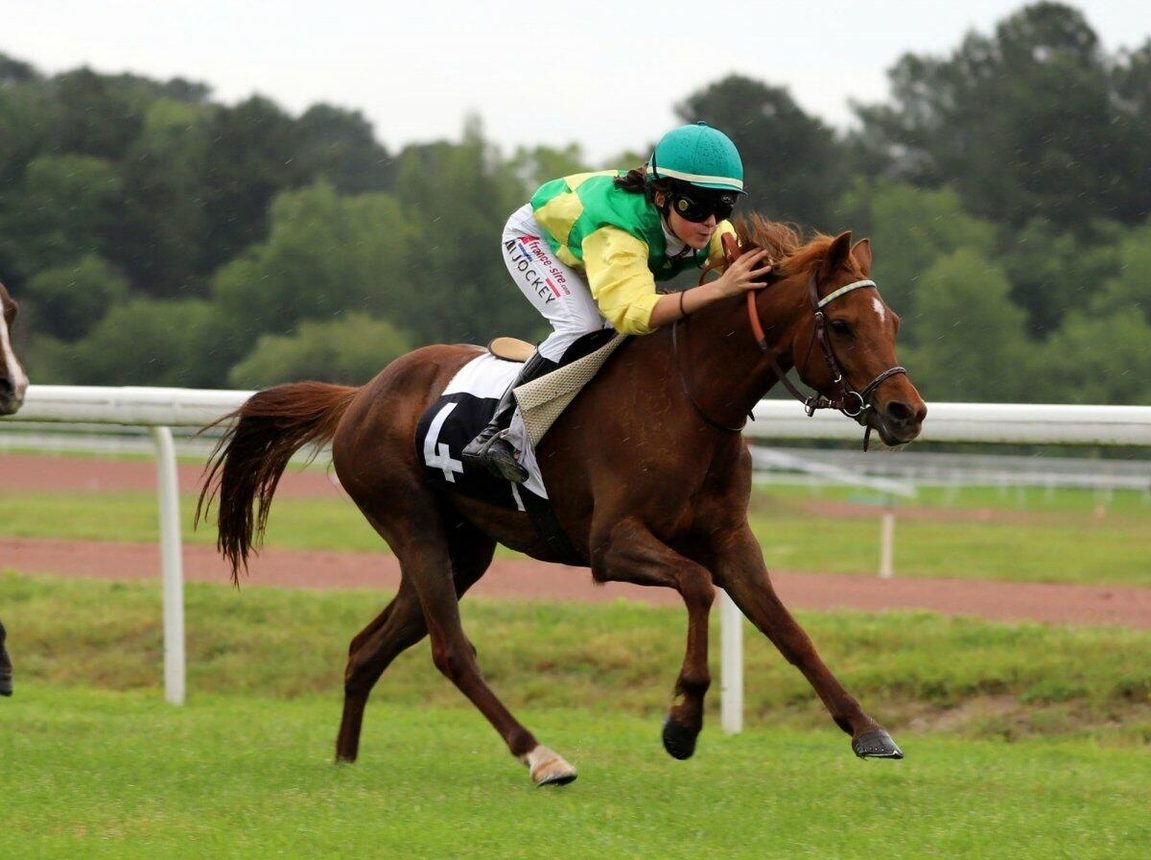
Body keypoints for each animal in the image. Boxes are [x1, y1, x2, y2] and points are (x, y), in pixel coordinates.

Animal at [198, 216, 927, 785]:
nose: (907, 412)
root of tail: (361, 395)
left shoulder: (730, 540)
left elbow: (787, 629)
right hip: (411, 522)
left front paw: (867, 729)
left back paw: (345, 762)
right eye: (841, 324)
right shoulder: (611, 544)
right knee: (449, 650)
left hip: (462, 548)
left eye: (891, 320)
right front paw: (682, 721)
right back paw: (540, 756)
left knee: (368, 648)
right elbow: (696, 587)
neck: (689, 397)